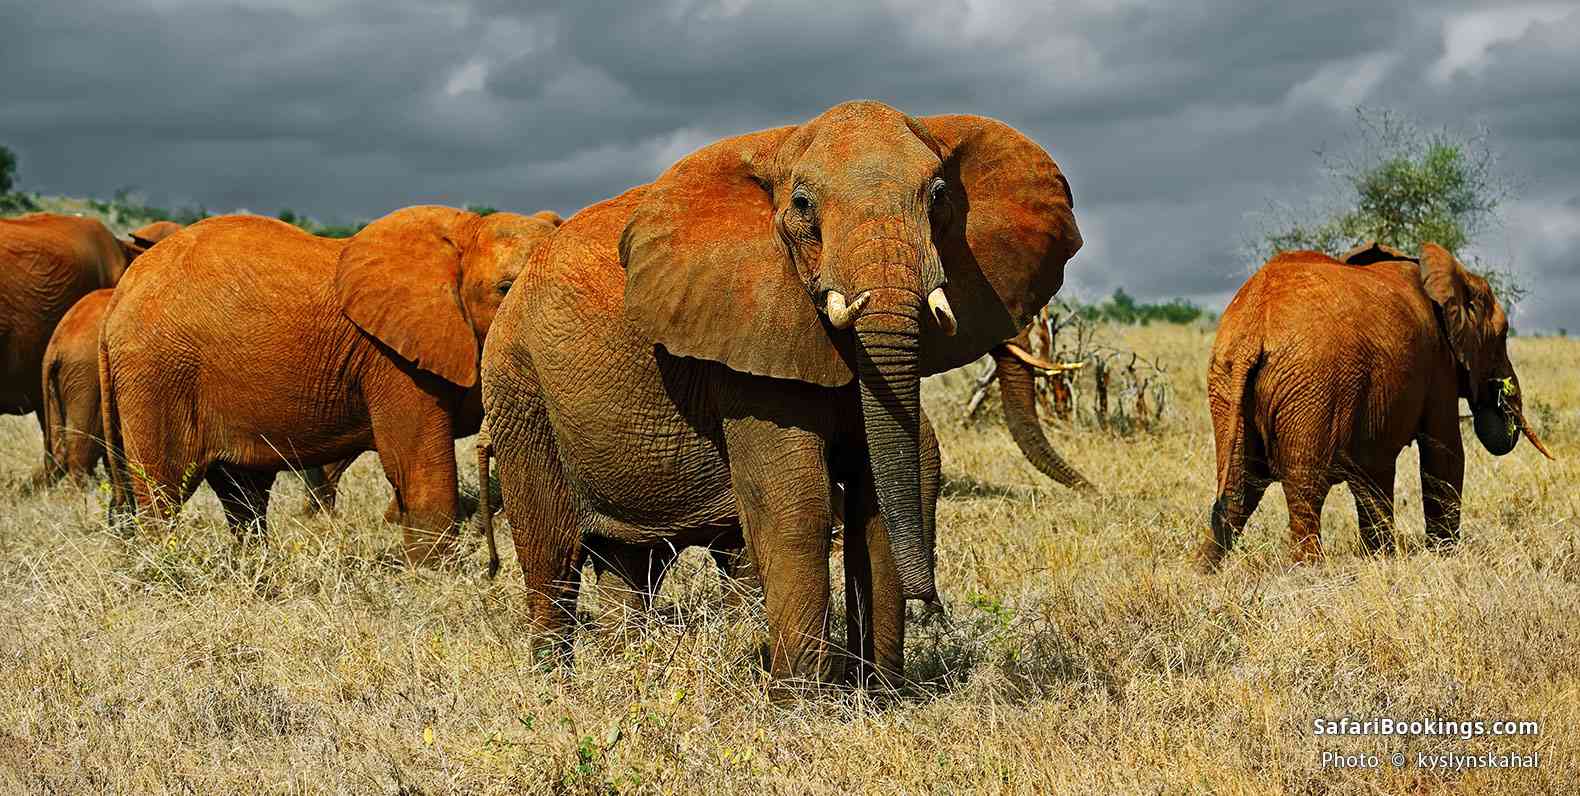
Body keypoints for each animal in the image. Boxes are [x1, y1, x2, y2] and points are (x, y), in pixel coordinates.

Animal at [99, 206, 559, 564]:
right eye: (504, 288)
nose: (491, 563)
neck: (462, 235)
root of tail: (118, 297)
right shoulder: (390, 358)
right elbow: (416, 464)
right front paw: (434, 576)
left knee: (243, 494)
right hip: (158, 372)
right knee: (164, 489)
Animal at [479, 101, 1082, 687]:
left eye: (938, 197)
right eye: (802, 204)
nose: (932, 604)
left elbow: (877, 495)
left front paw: (879, 695)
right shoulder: (744, 333)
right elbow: (794, 502)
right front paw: (801, 701)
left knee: (631, 563)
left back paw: (628, 667)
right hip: (518, 387)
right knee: (550, 552)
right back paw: (555, 683)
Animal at [1199, 240, 1553, 570]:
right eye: (1503, 335)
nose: (1499, 392)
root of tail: (1252, 330)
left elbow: (1375, 468)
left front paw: (1381, 558)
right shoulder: (1438, 364)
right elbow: (1445, 452)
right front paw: (1445, 556)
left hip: (1227, 385)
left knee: (1238, 489)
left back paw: (1206, 571)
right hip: (1312, 386)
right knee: (1304, 485)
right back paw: (1309, 571)